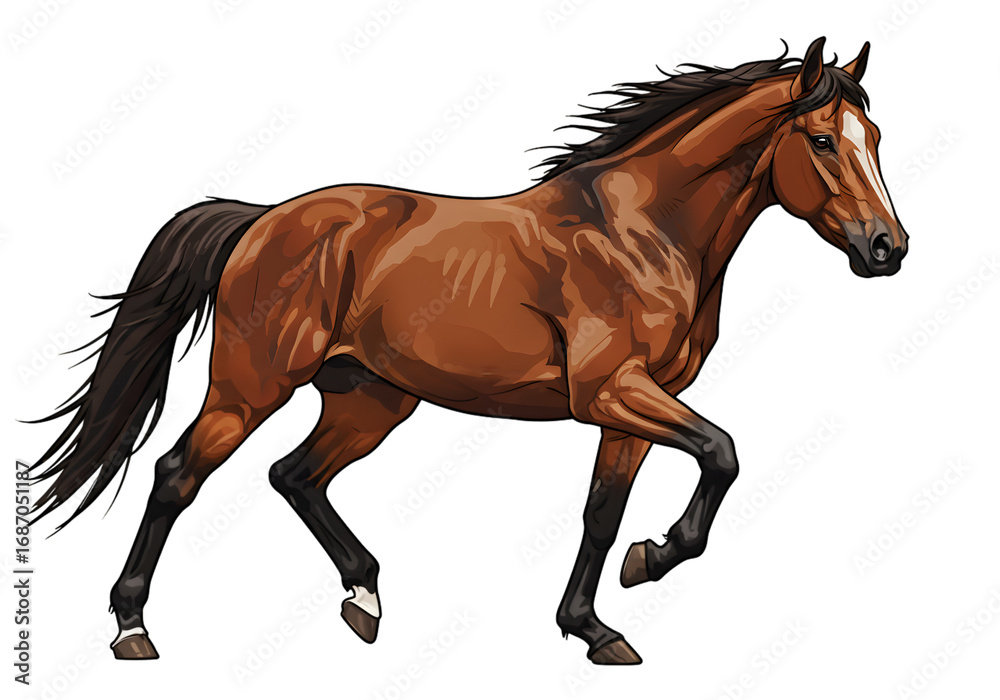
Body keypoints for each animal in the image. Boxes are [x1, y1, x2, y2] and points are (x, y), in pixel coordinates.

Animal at [31, 37, 907, 665]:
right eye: (822, 140)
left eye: (874, 135)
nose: (887, 248)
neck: (643, 229)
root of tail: (263, 218)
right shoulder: (614, 392)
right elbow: (722, 452)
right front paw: (651, 560)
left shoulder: (630, 408)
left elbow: (602, 512)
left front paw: (595, 626)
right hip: (252, 386)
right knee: (179, 473)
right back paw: (132, 628)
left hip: (370, 399)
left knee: (294, 475)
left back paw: (364, 599)